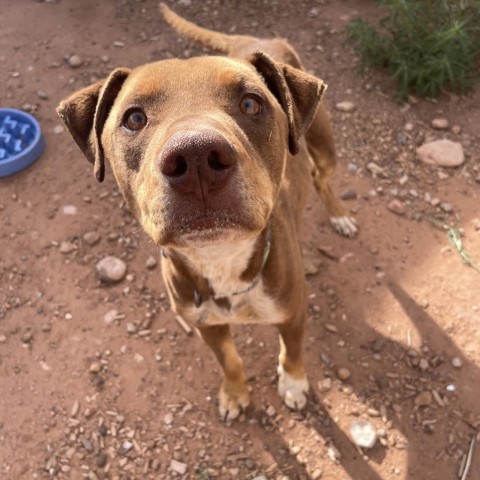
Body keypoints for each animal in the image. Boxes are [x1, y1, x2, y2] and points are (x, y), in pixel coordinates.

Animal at [56, 3, 356, 420]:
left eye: (251, 103)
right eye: (134, 118)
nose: (196, 156)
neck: (221, 260)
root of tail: (256, 39)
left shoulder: (294, 313)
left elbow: (291, 354)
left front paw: (294, 384)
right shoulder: (208, 326)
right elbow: (230, 361)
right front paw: (234, 393)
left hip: (324, 147)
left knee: (320, 177)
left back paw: (340, 214)